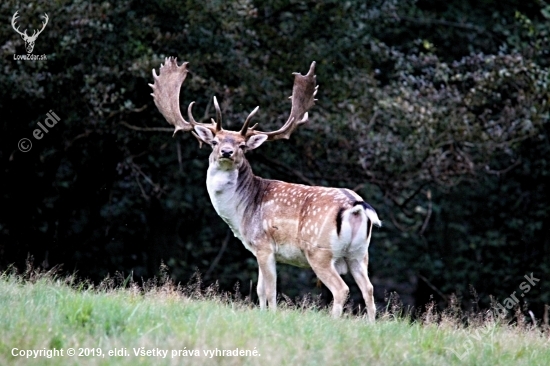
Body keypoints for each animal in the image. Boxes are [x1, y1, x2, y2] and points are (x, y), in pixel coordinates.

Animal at [151, 58, 384, 320]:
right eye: (214, 142)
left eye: (242, 145)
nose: (227, 152)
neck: (242, 213)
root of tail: (356, 205)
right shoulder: (257, 249)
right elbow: (261, 290)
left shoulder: (263, 245)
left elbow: (270, 290)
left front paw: (271, 314)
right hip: (359, 254)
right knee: (369, 289)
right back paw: (370, 324)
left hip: (319, 251)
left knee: (341, 289)